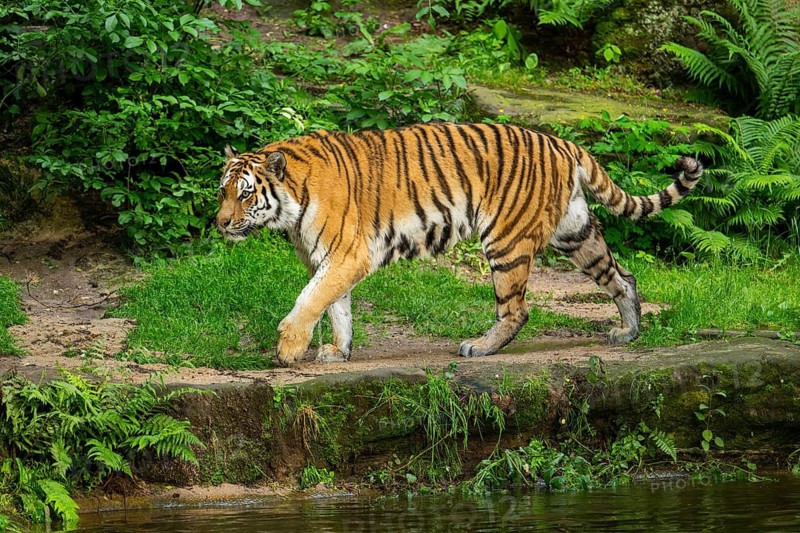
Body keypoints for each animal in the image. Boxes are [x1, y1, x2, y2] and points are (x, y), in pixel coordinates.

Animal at [216, 122, 702, 367]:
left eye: (245, 194)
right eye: (222, 191)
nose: (219, 223)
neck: (291, 207)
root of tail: (562, 142)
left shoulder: (347, 255)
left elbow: (311, 299)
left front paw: (289, 349)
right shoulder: (327, 258)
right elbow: (337, 306)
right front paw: (339, 351)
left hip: (506, 240)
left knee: (516, 309)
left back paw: (480, 347)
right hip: (575, 232)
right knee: (624, 277)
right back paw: (629, 331)